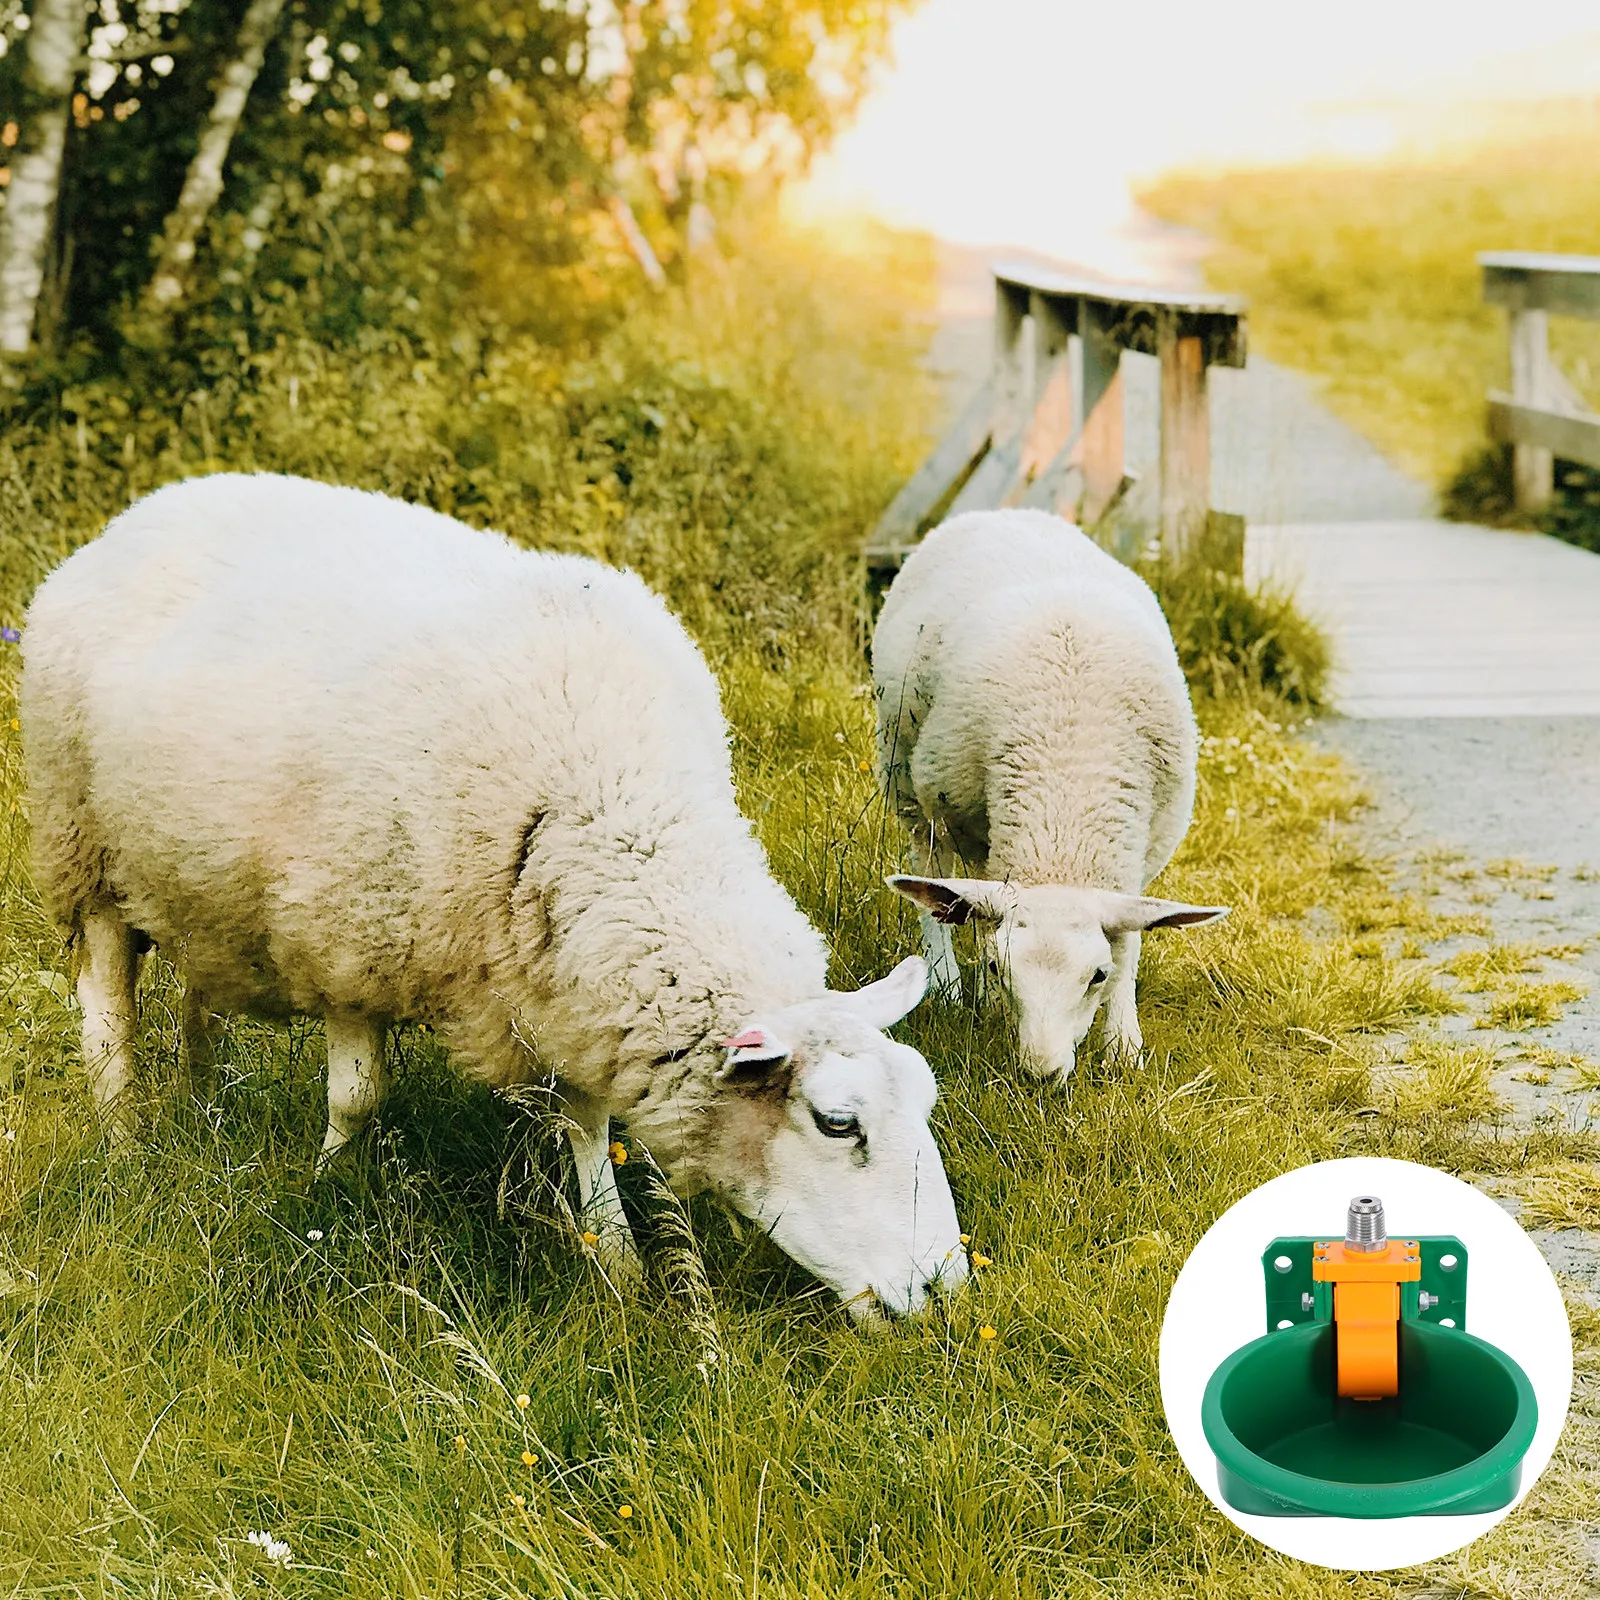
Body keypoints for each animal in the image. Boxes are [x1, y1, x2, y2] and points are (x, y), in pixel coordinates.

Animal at [22, 471, 968, 1321]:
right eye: (838, 1124)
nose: (944, 1290)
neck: (612, 799)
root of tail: (143, 510)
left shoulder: (571, 981)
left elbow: (588, 1123)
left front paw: (614, 1256)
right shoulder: (352, 941)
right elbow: (355, 1099)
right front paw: (328, 1188)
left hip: (196, 885)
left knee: (199, 999)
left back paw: (205, 1105)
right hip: (84, 850)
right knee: (108, 1011)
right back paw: (127, 1136)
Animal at [871, 508, 1227, 1081]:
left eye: (1097, 975)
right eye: (1002, 967)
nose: (1040, 1074)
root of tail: (1003, 512)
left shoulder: (1142, 852)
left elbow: (1130, 937)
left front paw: (1123, 1043)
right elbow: (969, 907)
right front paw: (986, 993)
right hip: (905, 769)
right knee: (932, 868)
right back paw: (947, 982)